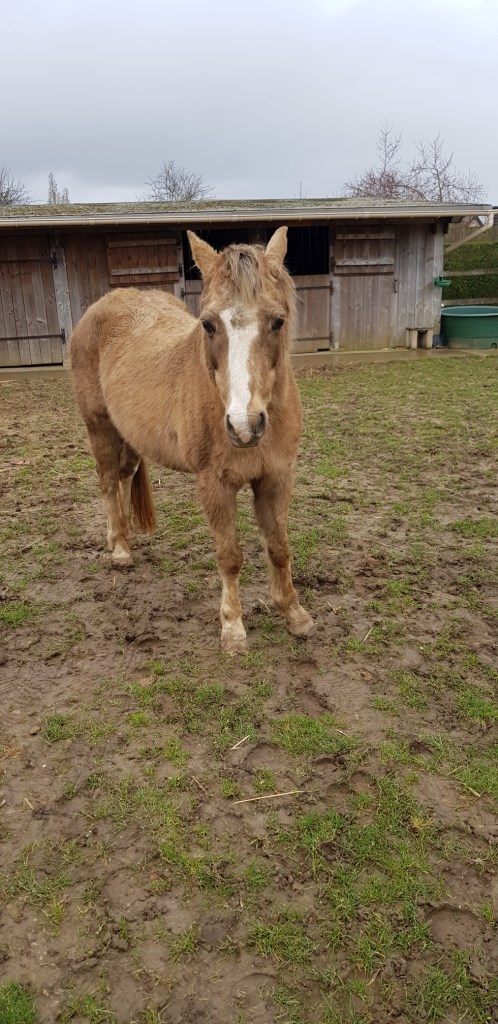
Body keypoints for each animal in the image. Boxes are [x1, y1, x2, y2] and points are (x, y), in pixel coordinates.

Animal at [69, 227, 313, 651]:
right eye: (209, 325)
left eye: (278, 321)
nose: (244, 425)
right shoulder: (214, 484)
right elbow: (229, 556)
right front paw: (233, 629)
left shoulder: (277, 477)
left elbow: (280, 548)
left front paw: (295, 614)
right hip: (99, 427)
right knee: (107, 482)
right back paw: (119, 548)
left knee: (122, 476)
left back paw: (127, 537)